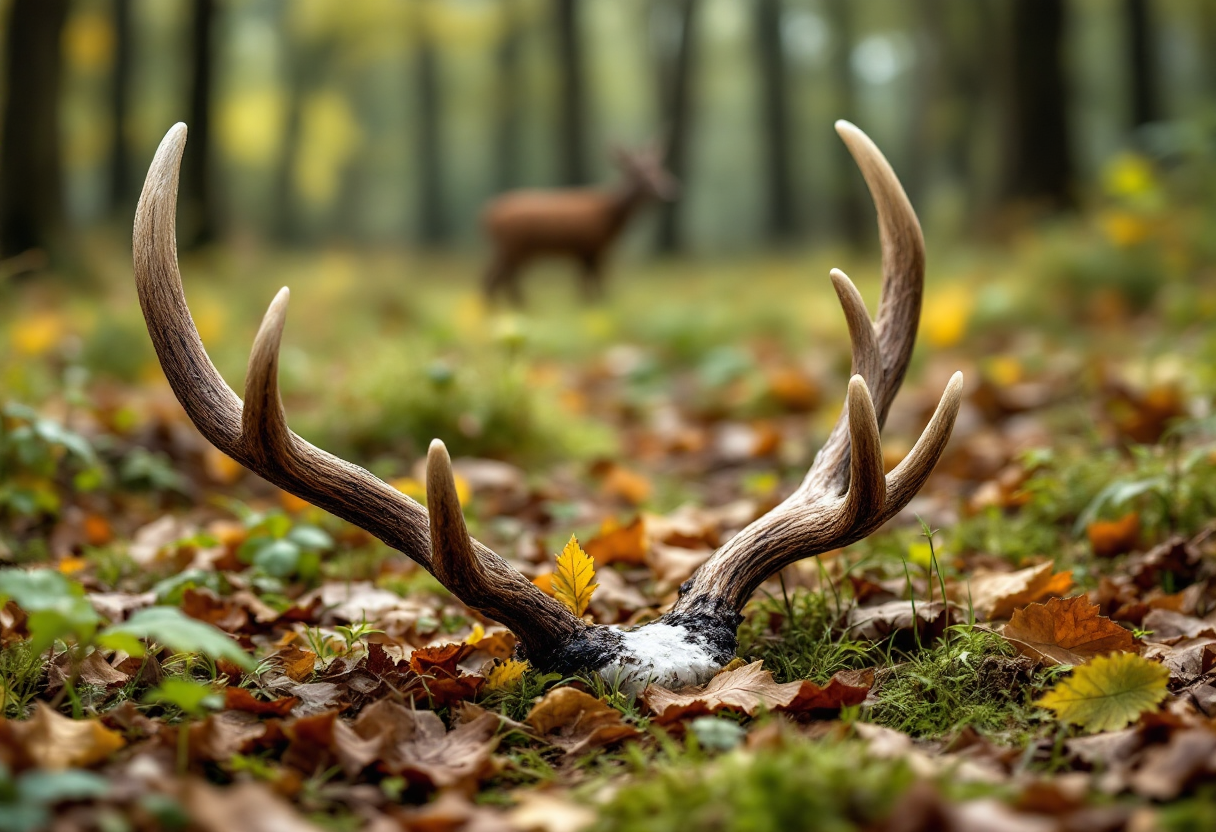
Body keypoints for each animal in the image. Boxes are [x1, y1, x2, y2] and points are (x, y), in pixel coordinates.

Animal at [481, 142, 676, 305]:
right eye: (642, 178)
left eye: (659, 171)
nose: (670, 192)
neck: (611, 215)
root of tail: (486, 216)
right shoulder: (593, 246)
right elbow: (595, 280)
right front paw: (598, 303)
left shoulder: (585, 250)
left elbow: (585, 282)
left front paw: (589, 302)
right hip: (514, 247)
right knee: (499, 278)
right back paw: (517, 306)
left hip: (510, 250)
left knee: (495, 276)